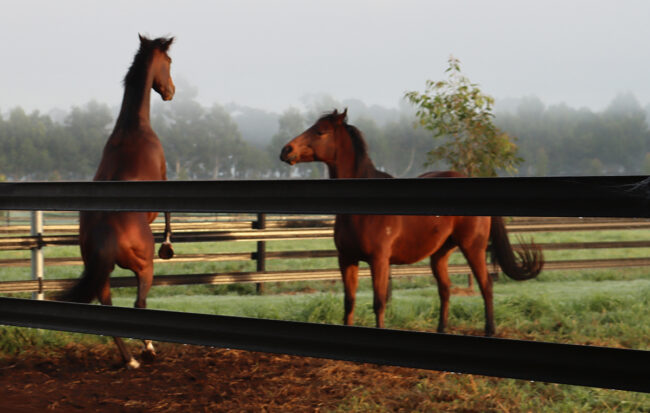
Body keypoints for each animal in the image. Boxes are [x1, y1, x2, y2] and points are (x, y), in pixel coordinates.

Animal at [58, 35, 176, 368]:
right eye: (169, 62)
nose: (171, 91)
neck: (132, 128)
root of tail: (107, 232)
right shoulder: (164, 179)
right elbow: (168, 213)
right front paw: (168, 246)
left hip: (101, 273)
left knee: (107, 305)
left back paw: (130, 360)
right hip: (143, 267)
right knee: (139, 302)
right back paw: (147, 349)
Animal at [280, 109, 543, 336]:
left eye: (320, 131)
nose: (286, 150)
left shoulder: (379, 260)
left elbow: (379, 302)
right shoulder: (346, 259)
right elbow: (349, 302)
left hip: (473, 247)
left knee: (486, 285)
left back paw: (490, 330)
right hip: (440, 253)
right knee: (445, 289)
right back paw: (441, 329)